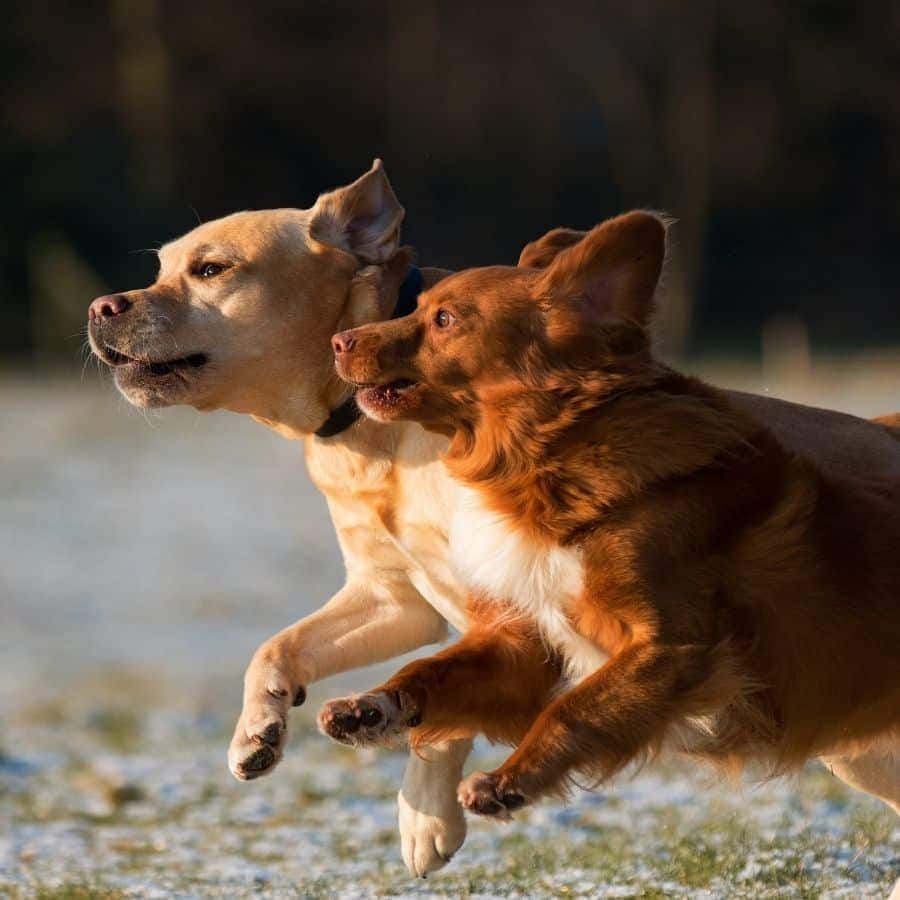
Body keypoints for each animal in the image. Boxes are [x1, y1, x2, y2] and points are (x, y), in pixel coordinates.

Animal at [318, 213, 900, 824]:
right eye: (420, 307)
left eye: (445, 319)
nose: (338, 341)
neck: (546, 462)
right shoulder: (528, 642)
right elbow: (435, 670)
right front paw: (370, 706)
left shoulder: (671, 648)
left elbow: (574, 709)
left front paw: (506, 781)